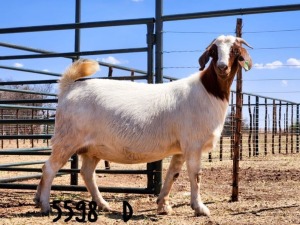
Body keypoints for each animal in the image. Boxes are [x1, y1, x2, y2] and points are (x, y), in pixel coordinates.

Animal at [34, 34, 252, 216]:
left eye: (235, 51)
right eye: (214, 52)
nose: (222, 67)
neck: (208, 91)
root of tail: (68, 87)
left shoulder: (181, 148)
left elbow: (172, 174)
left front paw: (163, 205)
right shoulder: (193, 144)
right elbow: (195, 175)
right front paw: (200, 208)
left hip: (92, 148)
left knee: (87, 174)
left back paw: (101, 204)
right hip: (67, 138)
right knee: (49, 168)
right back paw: (44, 205)